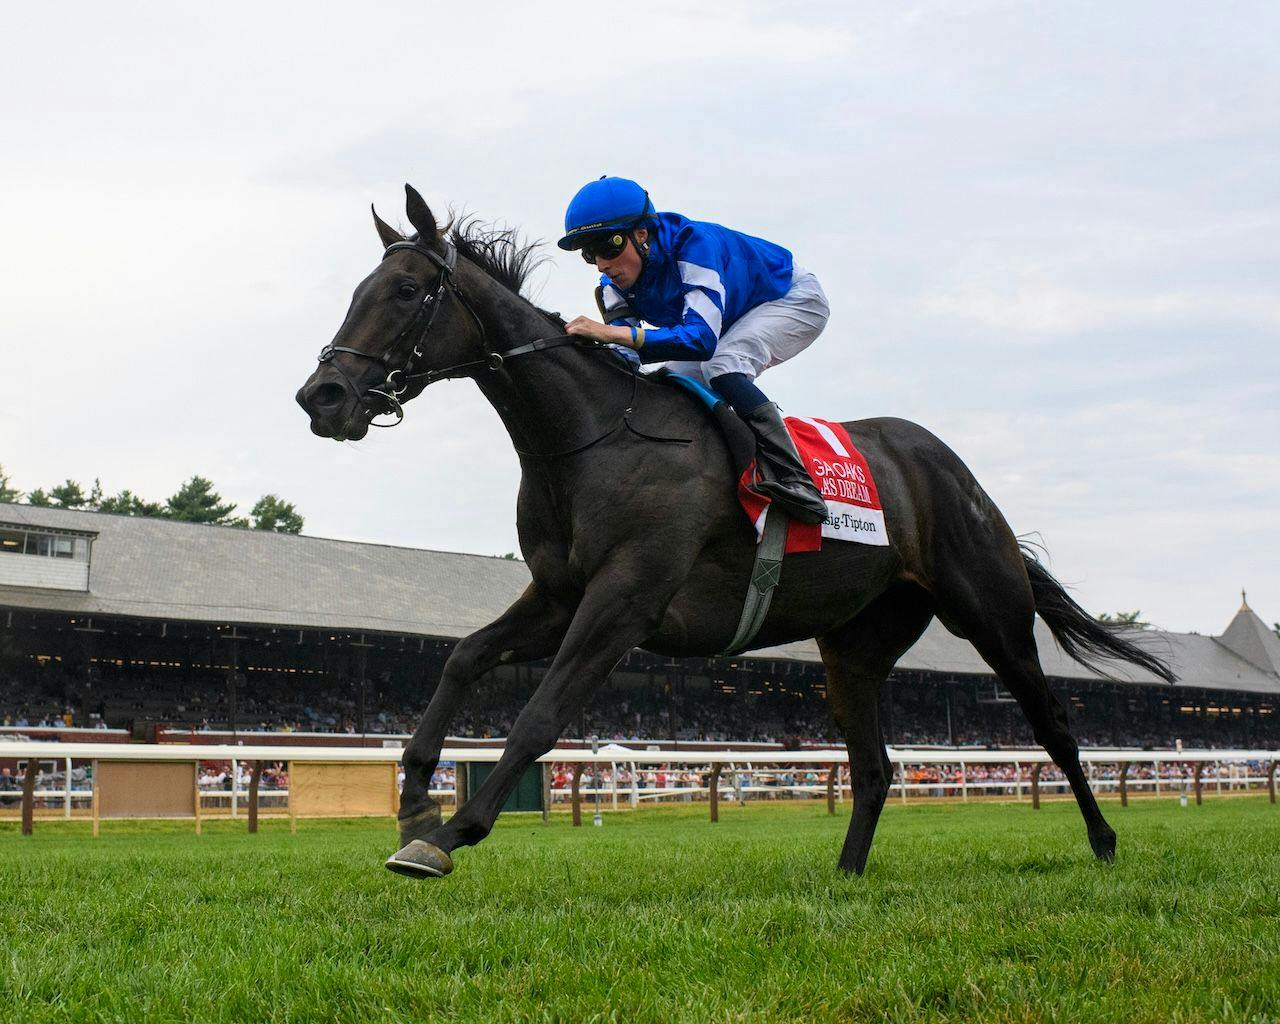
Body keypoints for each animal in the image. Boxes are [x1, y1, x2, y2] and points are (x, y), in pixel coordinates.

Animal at [294, 185, 1172, 880]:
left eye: (407, 290)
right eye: (361, 287)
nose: (321, 396)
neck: (592, 436)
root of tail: (956, 473)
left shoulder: (625, 599)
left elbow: (541, 716)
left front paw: (448, 835)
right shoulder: (559, 592)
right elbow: (464, 657)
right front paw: (413, 799)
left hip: (989, 612)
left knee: (1053, 725)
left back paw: (1103, 844)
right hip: (854, 646)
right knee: (874, 767)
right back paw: (846, 873)